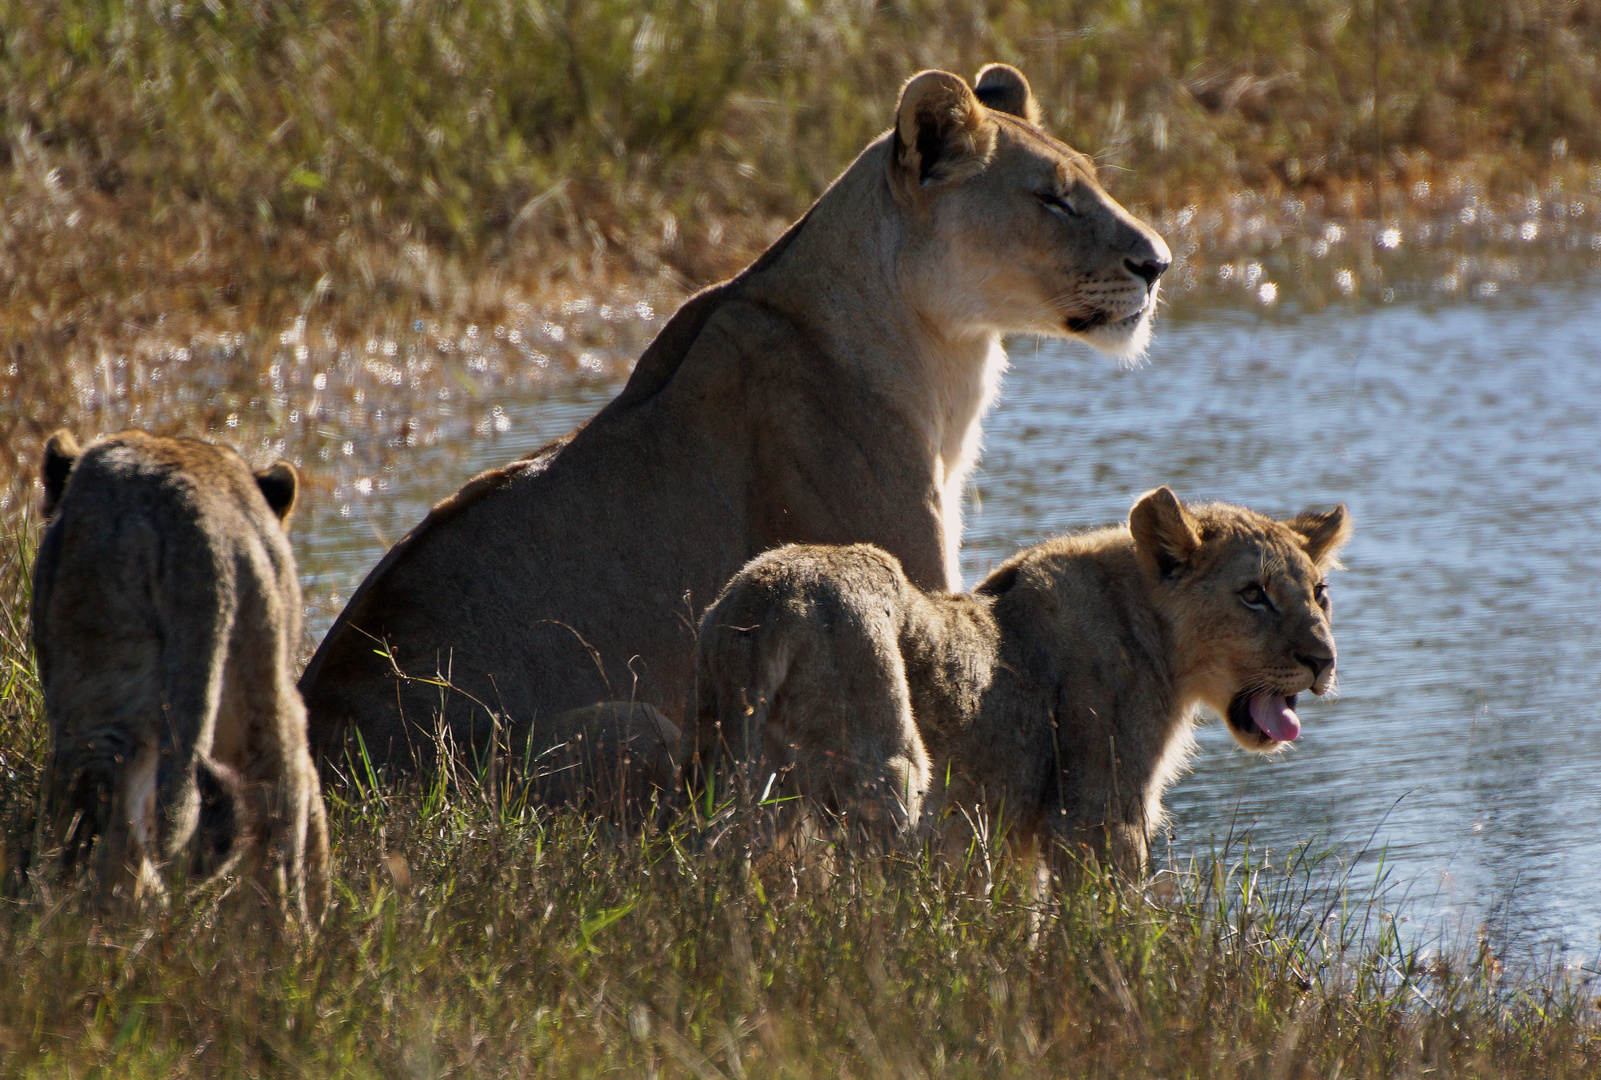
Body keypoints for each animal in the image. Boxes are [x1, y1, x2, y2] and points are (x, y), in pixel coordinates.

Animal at [688, 489, 1351, 876]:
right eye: (1254, 595)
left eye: (1320, 593)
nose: (1323, 660)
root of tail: (770, 604)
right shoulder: (1095, 816)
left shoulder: (1016, 830)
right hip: (892, 774)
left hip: (742, 782)